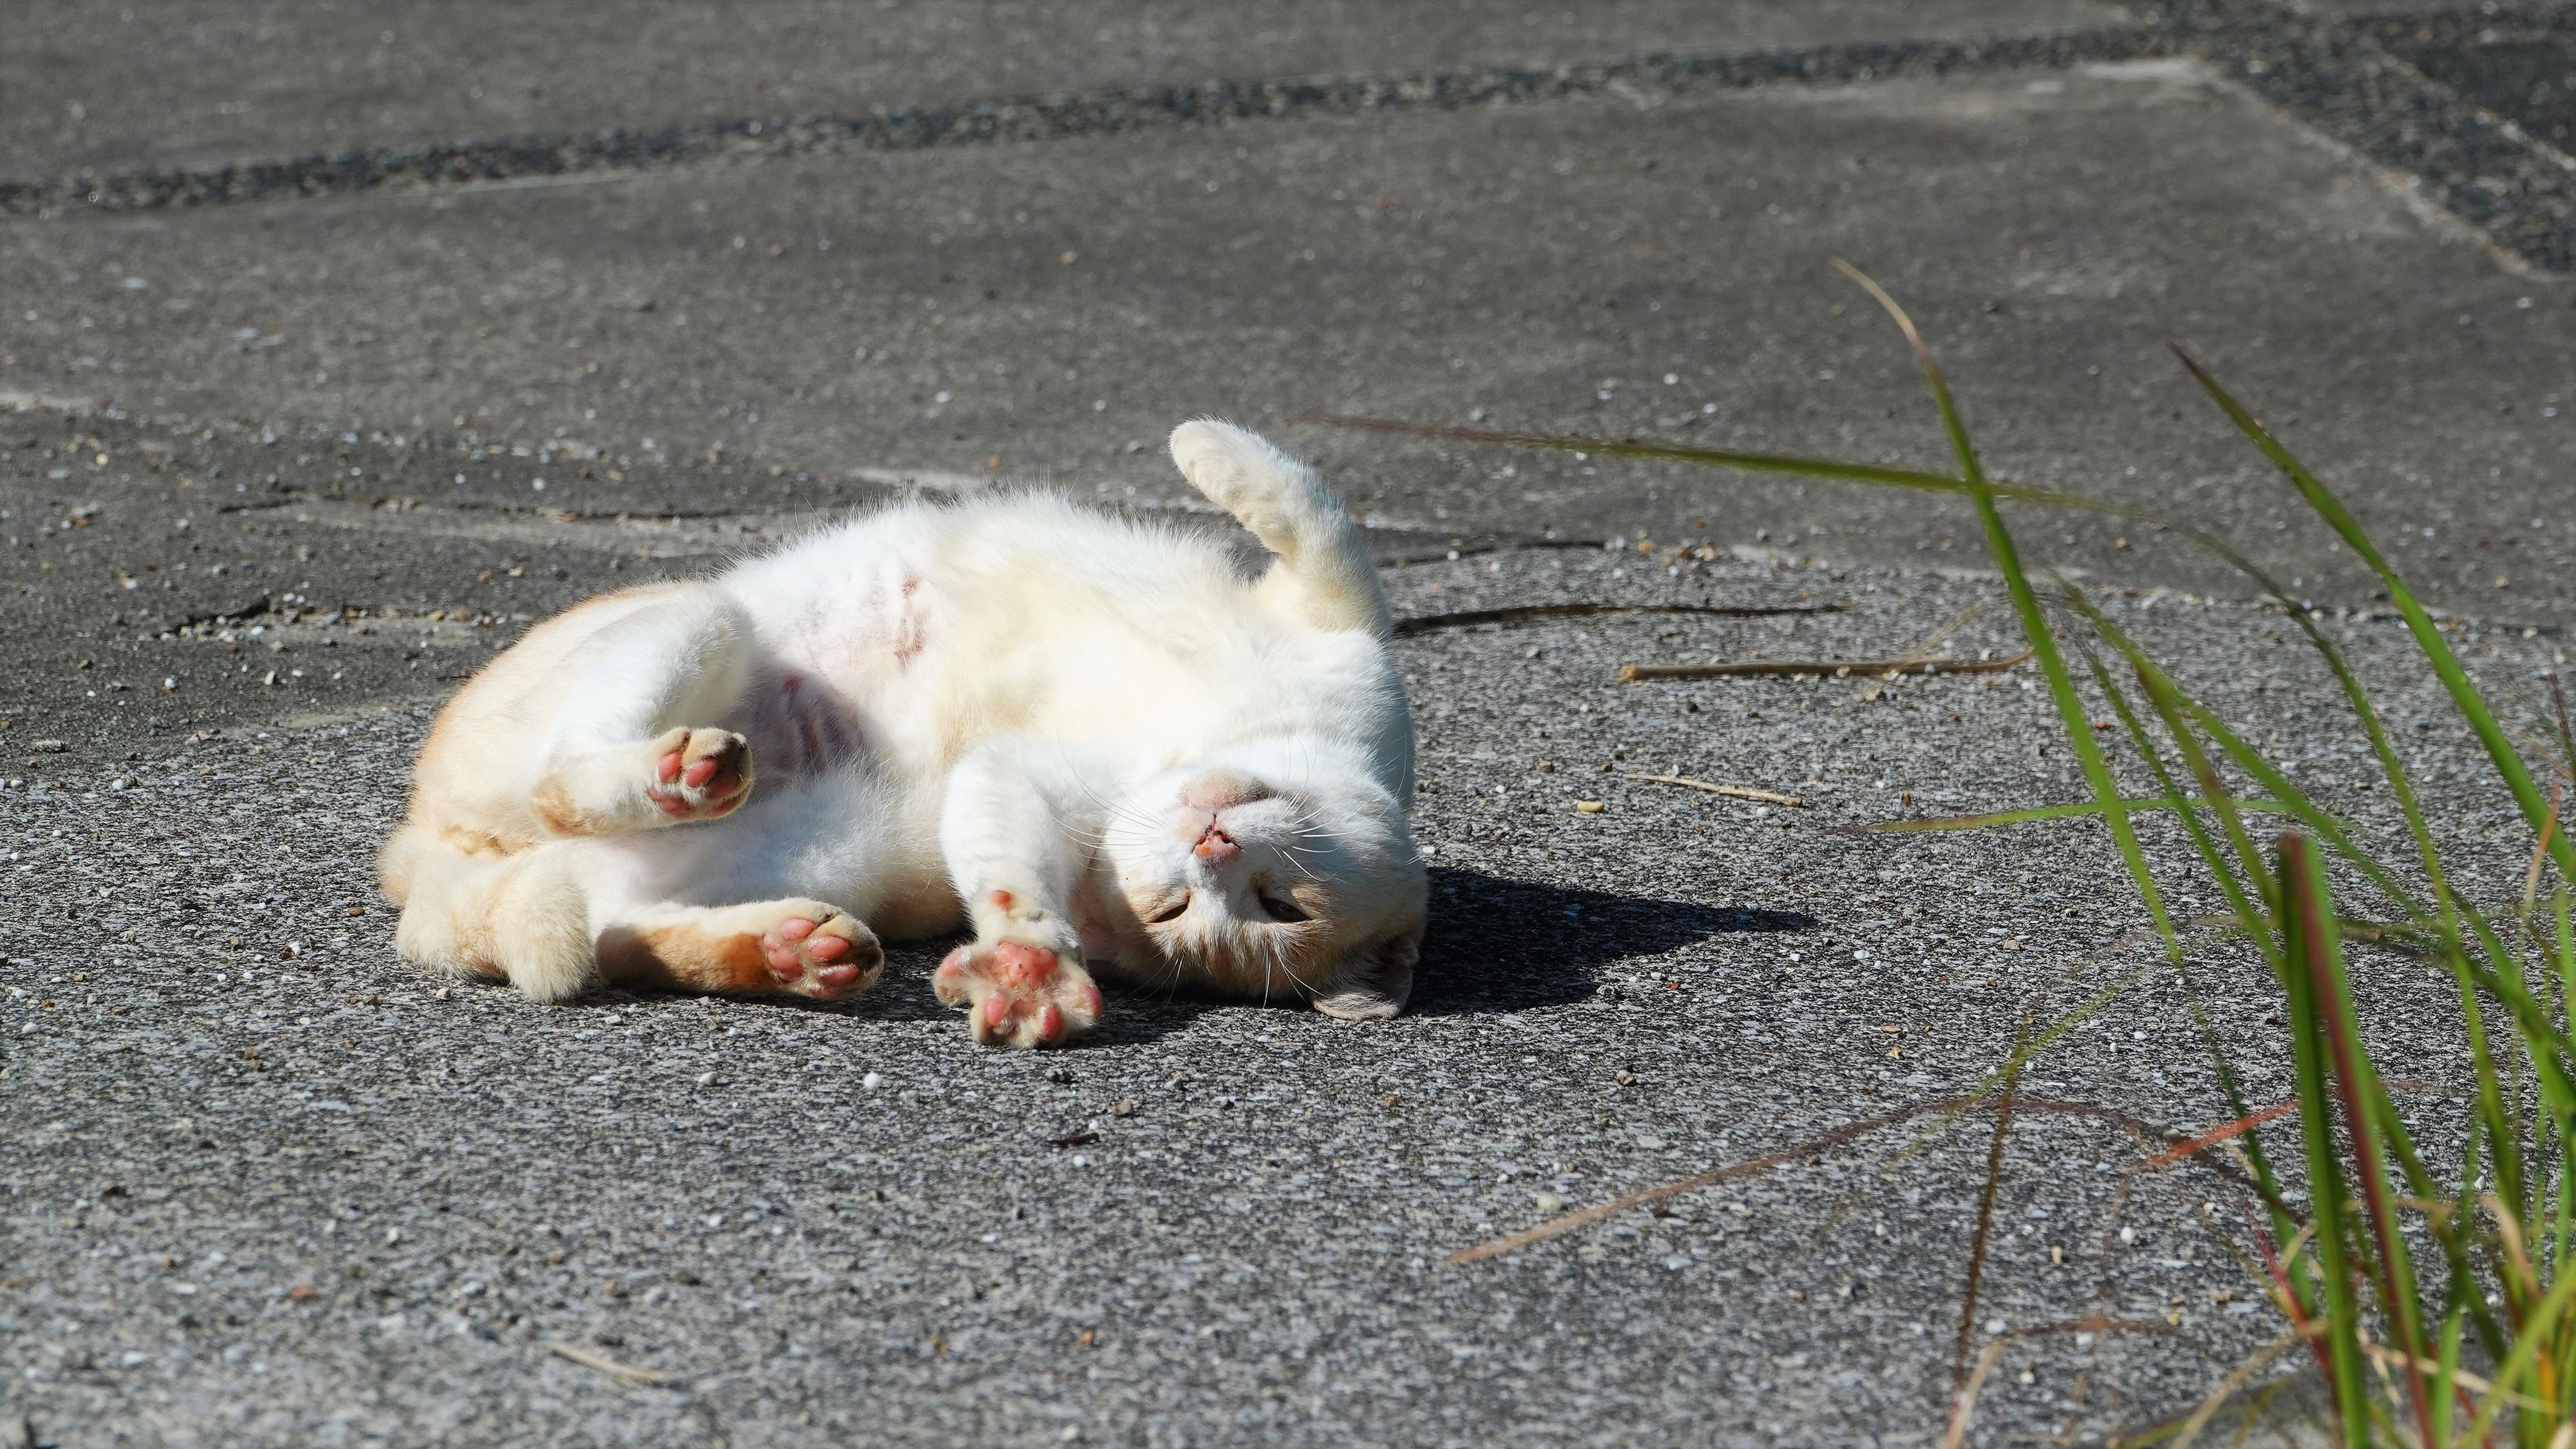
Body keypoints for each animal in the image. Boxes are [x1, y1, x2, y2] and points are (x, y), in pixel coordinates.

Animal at [377, 421, 1426, 1048]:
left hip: (822, 845)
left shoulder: (1022, 785)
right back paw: (688, 783)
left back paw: (788, 946)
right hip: (704, 618)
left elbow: (1009, 873)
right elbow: (1309, 499)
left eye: (1266, 906)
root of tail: (418, 850)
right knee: (570, 788)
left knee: (617, 920)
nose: (1208, 847)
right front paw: (1199, 442)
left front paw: (1028, 970)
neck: (1199, 736)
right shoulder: (1345, 620)